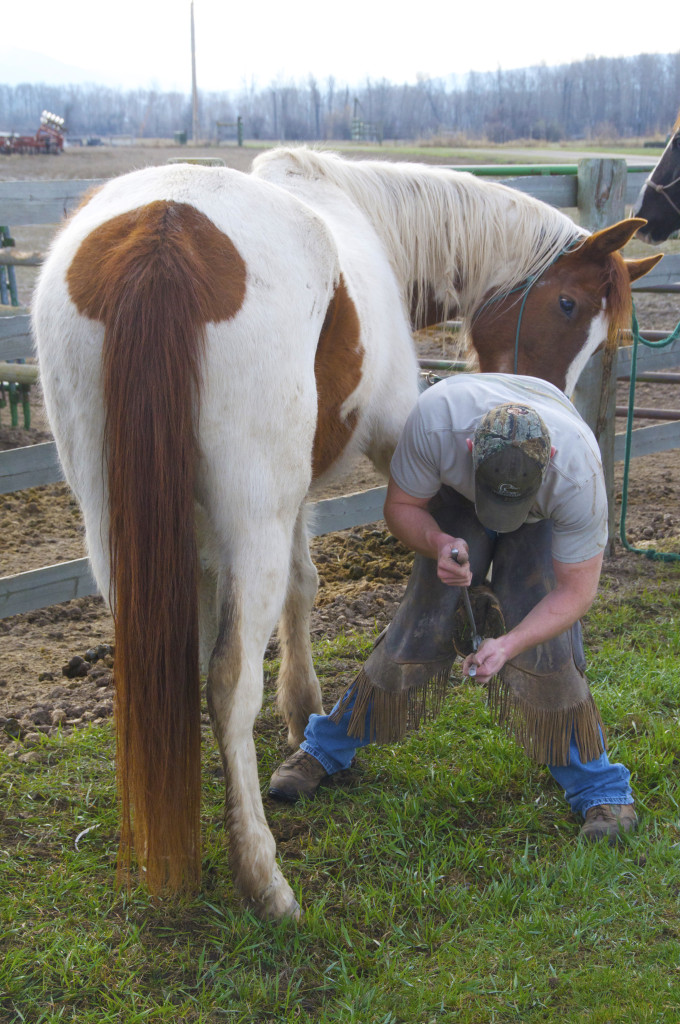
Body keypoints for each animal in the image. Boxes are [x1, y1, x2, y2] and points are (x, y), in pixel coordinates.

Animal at [31, 146, 659, 921]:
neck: (367, 217)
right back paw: (264, 879)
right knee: (227, 682)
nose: (542, 405)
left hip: (115, 521)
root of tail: (164, 229)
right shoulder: (387, 444)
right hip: (251, 518)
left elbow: (297, 590)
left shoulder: (267, 506)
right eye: (566, 304)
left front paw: (299, 717)